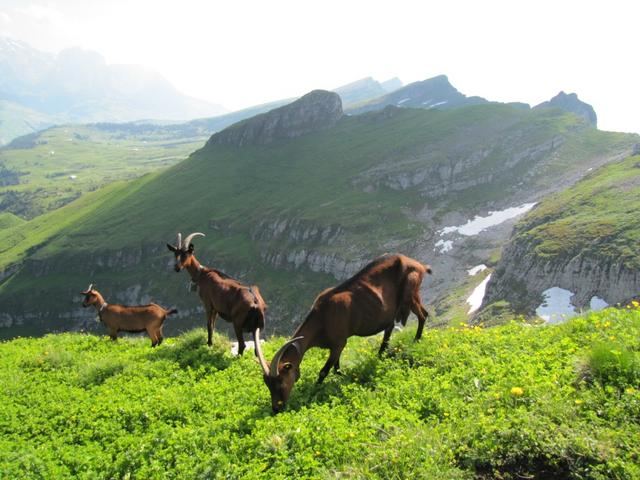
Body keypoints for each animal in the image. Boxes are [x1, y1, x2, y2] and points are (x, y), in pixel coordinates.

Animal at [255, 253, 430, 414]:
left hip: (411, 295)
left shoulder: (339, 343)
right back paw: (380, 354)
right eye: (267, 385)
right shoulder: (337, 344)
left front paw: (314, 392)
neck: (322, 316)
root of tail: (420, 265)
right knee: (391, 327)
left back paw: (416, 341)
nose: (276, 409)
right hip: (392, 310)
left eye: (280, 383)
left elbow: (324, 370)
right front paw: (341, 377)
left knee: (423, 315)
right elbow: (336, 367)